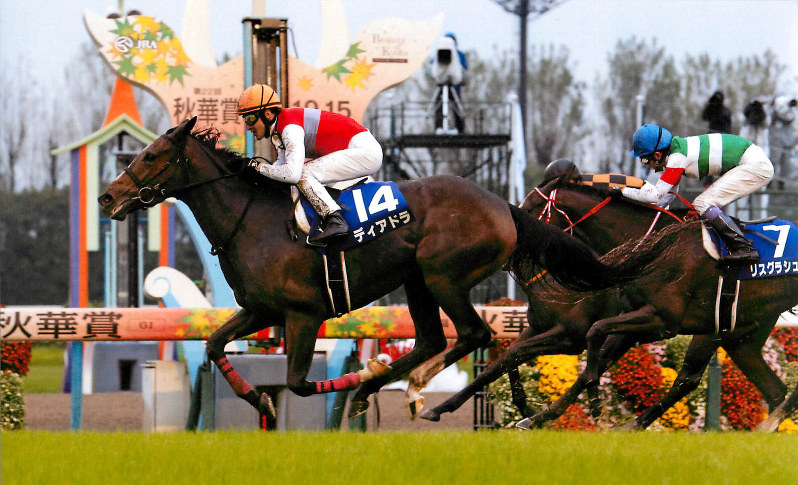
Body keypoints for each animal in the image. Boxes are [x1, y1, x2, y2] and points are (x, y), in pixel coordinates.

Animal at [98, 117, 657, 421]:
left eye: (152, 155)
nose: (107, 197)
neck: (253, 221)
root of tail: (503, 206)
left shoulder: (303, 314)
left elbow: (300, 384)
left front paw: (357, 376)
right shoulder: (261, 311)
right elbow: (214, 345)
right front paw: (259, 401)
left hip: (441, 274)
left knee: (472, 334)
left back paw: (413, 393)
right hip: (416, 281)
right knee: (432, 340)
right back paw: (391, 386)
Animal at [421, 170, 794, 431]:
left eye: (532, 207)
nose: (508, 231)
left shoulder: (612, 327)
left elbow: (581, 356)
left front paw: (580, 408)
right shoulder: (556, 326)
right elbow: (507, 357)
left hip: (713, 326)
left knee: (689, 378)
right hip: (739, 331)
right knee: (773, 389)